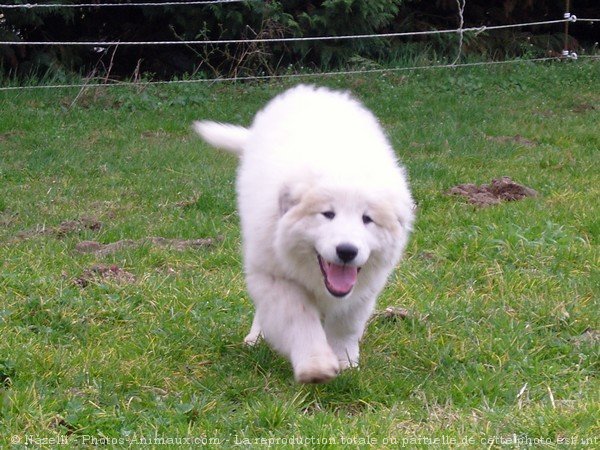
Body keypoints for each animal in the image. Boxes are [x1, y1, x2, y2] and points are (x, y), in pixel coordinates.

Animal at [193, 85, 412, 384]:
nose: (347, 251)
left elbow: (346, 326)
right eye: (327, 214)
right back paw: (256, 337)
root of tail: (310, 92)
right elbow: (299, 320)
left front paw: (345, 362)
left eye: (367, 219)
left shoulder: (364, 289)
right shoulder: (277, 279)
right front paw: (316, 365)